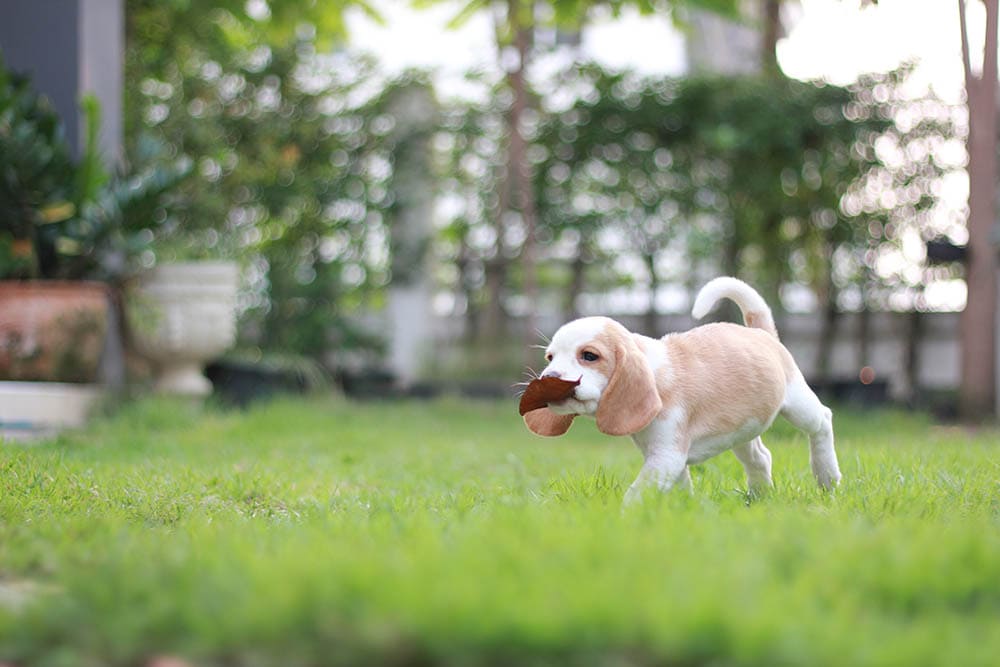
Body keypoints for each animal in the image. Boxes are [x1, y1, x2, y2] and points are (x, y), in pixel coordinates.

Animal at [528, 276, 840, 506]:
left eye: (589, 356)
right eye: (550, 358)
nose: (548, 378)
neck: (654, 374)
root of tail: (761, 333)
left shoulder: (666, 457)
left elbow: (635, 495)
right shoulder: (666, 460)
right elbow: (677, 489)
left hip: (798, 405)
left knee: (823, 421)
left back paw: (826, 476)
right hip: (744, 429)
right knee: (761, 458)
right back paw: (759, 497)